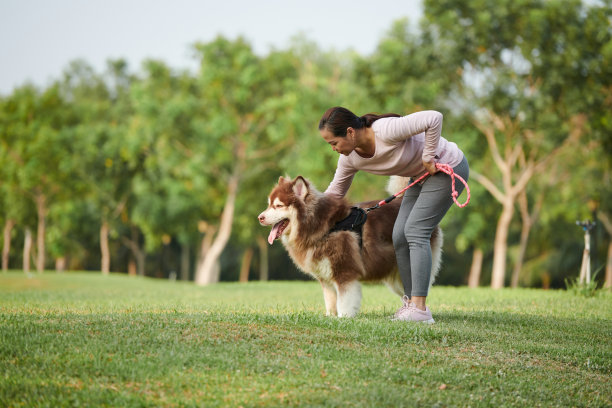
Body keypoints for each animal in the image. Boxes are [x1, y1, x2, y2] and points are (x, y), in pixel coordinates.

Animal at [256, 175, 442, 318]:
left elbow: (344, 301)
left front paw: (343, 317)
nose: (260, 217)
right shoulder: (325, 277)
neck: (322, 227)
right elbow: (330, 300)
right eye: (269, 204)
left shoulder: (344, 271)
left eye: (278, 205)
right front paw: (330, 316)